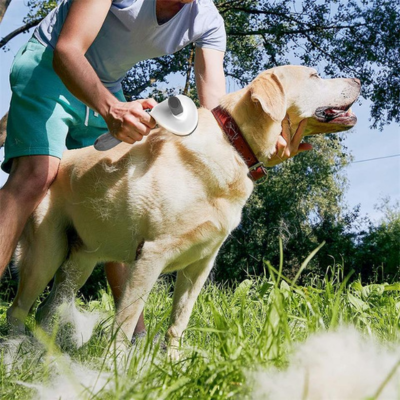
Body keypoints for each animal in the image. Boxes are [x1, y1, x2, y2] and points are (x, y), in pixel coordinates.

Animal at [6, 65, 360, 354]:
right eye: (315, 76)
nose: (358, 80)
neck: (234, 143)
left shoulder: (200, 263)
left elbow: (178, 321)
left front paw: (172, 362)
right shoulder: (150, 256)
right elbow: (126, 321)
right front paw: (115, 369)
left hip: (80, 262)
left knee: (47, 310)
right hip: (45, 254)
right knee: (19, 308)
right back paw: (17, 351)